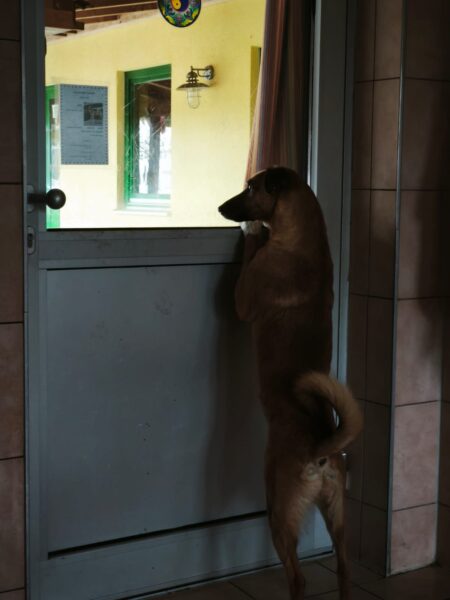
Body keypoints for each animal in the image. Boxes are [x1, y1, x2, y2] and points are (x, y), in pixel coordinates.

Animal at [218, 166, 363, 600]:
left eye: (250, 189)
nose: (221, 208)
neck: (303, 240)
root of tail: (320, 448)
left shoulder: (243, 298)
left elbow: (246, 268)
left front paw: (251, 230)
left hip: (278, 510)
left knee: (297, 577)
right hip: (338, 513)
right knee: (345, 567)